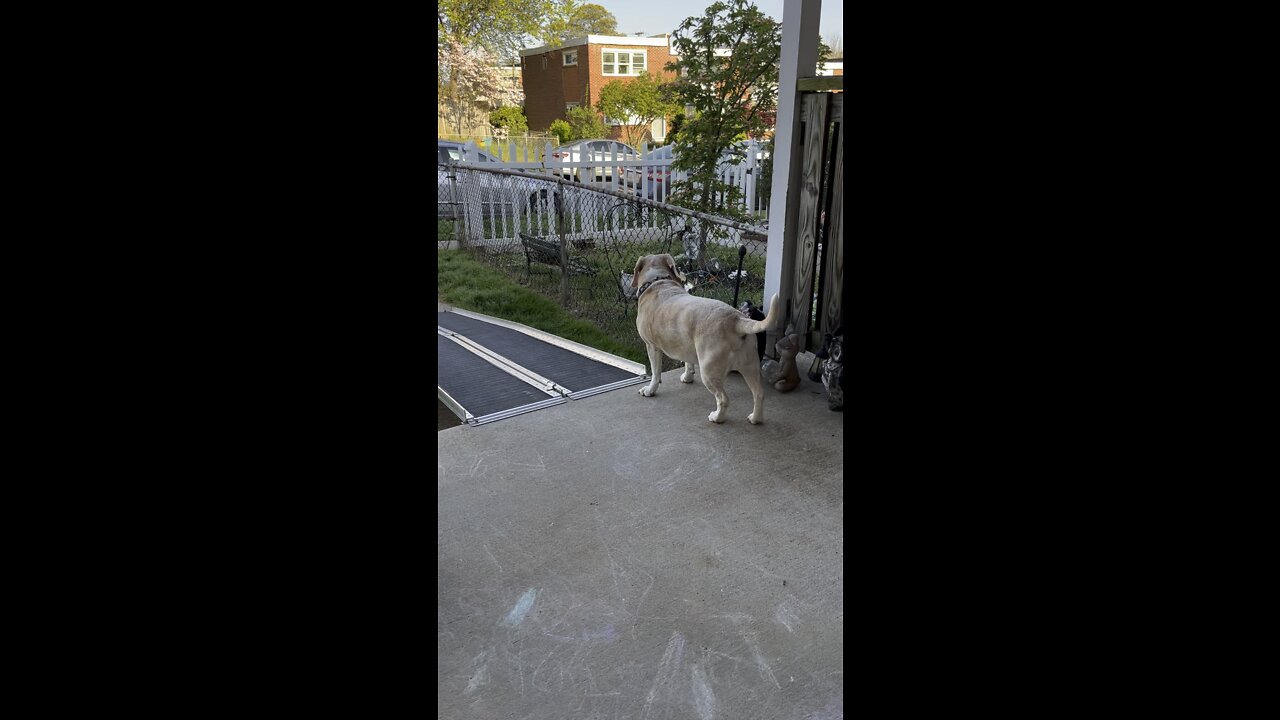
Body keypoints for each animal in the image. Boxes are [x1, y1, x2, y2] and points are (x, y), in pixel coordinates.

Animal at [629, 252, 778, 420]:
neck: (658, 281)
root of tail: (736, 320)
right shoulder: (684, 345)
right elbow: (687, 362)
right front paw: (687, 377)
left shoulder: (652, 346)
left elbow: (655, 373)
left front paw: (649, 390)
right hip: (751, 367)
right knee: (759, 394)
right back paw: (755, 418)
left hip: (708, 372)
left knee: (723, 399)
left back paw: (717, 418)